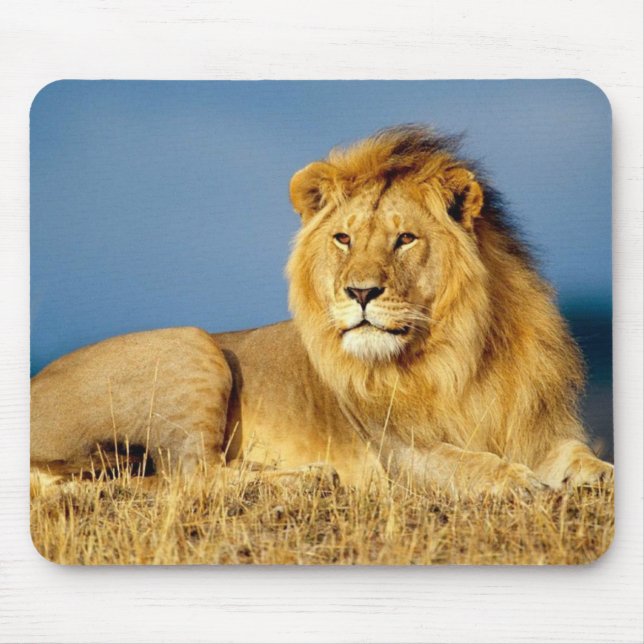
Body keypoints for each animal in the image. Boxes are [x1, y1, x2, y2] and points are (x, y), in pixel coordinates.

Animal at [31, 125, 613, 496]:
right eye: (343, 238)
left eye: (405, 239)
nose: (360, 292)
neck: (460, 354)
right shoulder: (399, 452)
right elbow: (466, 463)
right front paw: (517, 482)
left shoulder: (538, 428)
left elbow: (580, 457)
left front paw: (592, 475)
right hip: (189, 344)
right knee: (190, 477)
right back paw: (309, 478)